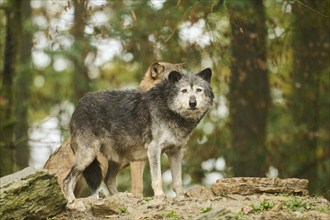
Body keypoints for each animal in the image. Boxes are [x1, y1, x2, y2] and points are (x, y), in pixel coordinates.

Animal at [63, 67, 214, 205]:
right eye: (184, 91)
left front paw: (181, 196)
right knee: (67, 180)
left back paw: (122, 197)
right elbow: (157, 178)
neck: (168, 108)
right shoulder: (154, 149)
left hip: (119, 159)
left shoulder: (176, 152)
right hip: (88, 156)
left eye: (198, 90)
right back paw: (72, 201)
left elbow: (177, 180)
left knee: (108, 180)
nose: (192, 103)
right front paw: (160, 195)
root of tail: (78, 106)